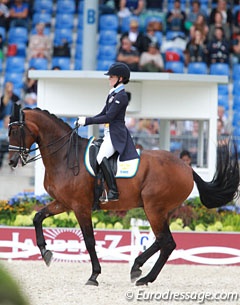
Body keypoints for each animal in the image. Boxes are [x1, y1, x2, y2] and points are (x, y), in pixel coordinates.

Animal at [8, 106, 239, 284]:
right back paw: (138, 268)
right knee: (162, 241)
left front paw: (94, 275)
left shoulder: (80, 207)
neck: (65, 156)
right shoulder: (63, 203)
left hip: (154, 208)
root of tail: (187, 167)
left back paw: (144, 277)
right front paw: (45, 252)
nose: (11, 161)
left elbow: (89, 241)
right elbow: (37, 217)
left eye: (16, 131)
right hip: (160, 210)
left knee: (166, 242)